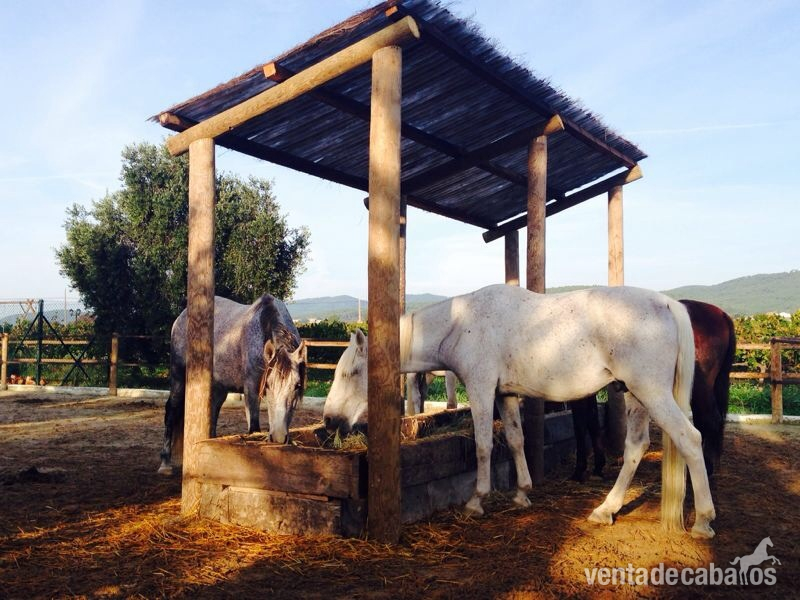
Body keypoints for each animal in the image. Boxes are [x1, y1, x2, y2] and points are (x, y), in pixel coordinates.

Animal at [158, 294, 306, 474]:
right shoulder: (251, 389)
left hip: (218, 388)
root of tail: (181, 318)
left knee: (212, 413)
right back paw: (165, 463)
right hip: (178, 377)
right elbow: (254, 428)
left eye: (297, 386)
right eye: (268, 386)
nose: (278, 437)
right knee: (171, 411)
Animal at [324, 284, 716, 538]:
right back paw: (606, 510)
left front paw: (477, 501)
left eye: (350, 373)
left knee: (690, 439)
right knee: (636, 447)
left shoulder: (481, 388)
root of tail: (668, 304)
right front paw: (523, 493)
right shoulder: (505, 395)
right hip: (635, 394)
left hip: (650, 392)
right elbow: (515, 439)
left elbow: (484, 445)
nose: (330, 420)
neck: (460, 322)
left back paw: (702, 521)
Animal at [570, 298, 736, 482]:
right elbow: (591, 421)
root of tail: (722, 315)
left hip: (699, 388)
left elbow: (580, 424)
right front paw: (598, 466)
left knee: (710, 421)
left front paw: (579, 470)